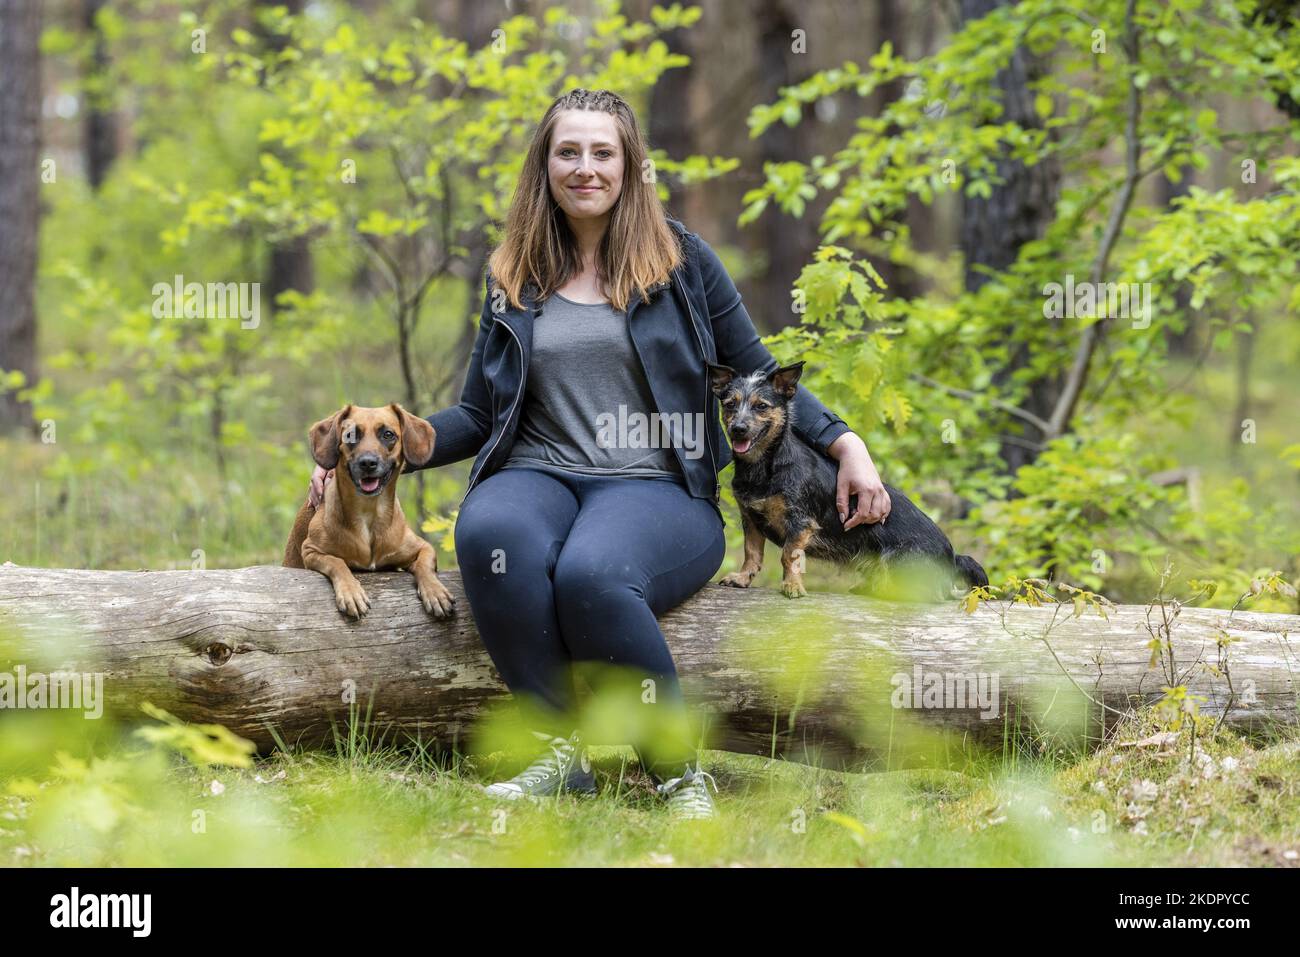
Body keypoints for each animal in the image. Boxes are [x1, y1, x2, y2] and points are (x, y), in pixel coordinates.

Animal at [284, 403, 457, 621]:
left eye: (388, 434)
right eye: (350, 435)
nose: (367, 463)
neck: (370, 512)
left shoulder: (422, 547)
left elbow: (425, 564)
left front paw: (435, 592)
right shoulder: (311, 550)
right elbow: (337, 562)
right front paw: (351, 593)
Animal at [712, 361, 982, 600]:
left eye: (761, 406)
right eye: (730, 405)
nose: (738, 429)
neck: (764, 466)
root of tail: (953, 558)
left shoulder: (800, 522)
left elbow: (790, 555)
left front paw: (792, 586)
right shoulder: (751, 519)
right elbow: (752, 553)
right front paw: (742, 578)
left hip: (899, 561)